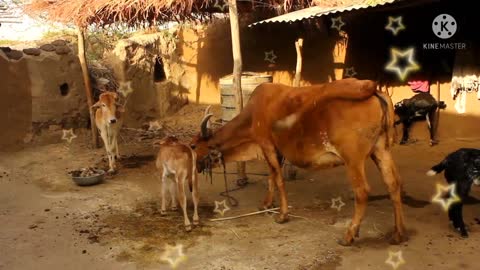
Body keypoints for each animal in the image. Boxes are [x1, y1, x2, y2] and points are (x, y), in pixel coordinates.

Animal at [191, 78, 404, 247]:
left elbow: (278, 180)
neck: (252, 115)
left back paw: (349, 235)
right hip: (381, 150)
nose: (196, 167)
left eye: (193, 146)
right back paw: (398, 233)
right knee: (393, 184)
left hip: (353, 159)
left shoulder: (267, 146)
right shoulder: (275, 151)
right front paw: (266, 204)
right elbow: (271, 177)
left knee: (362, 192)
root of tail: (373, 90)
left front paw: (282, 215)